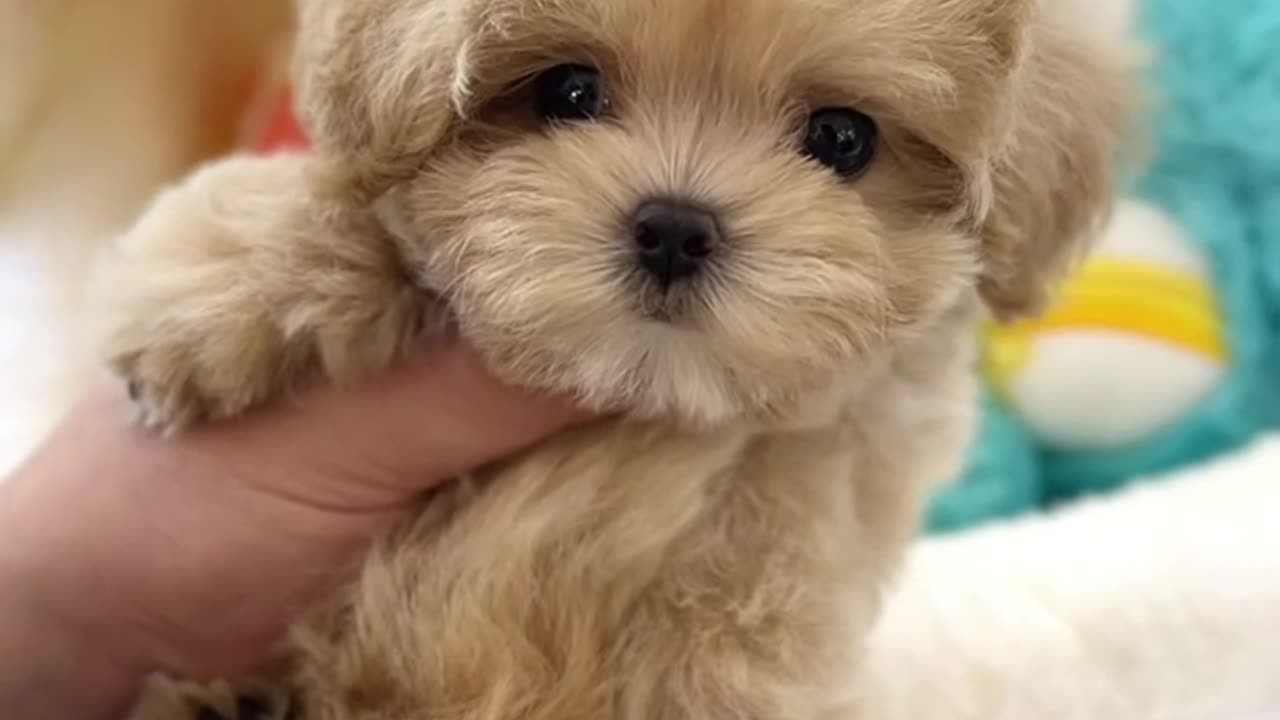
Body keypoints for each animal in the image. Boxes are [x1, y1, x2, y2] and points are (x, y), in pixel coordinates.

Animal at [104, 0, 1136, 712]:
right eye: (568, 91)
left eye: (843, 138)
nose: (675, 226)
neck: (648, 402)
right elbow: (362, 210)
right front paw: (214, 286)